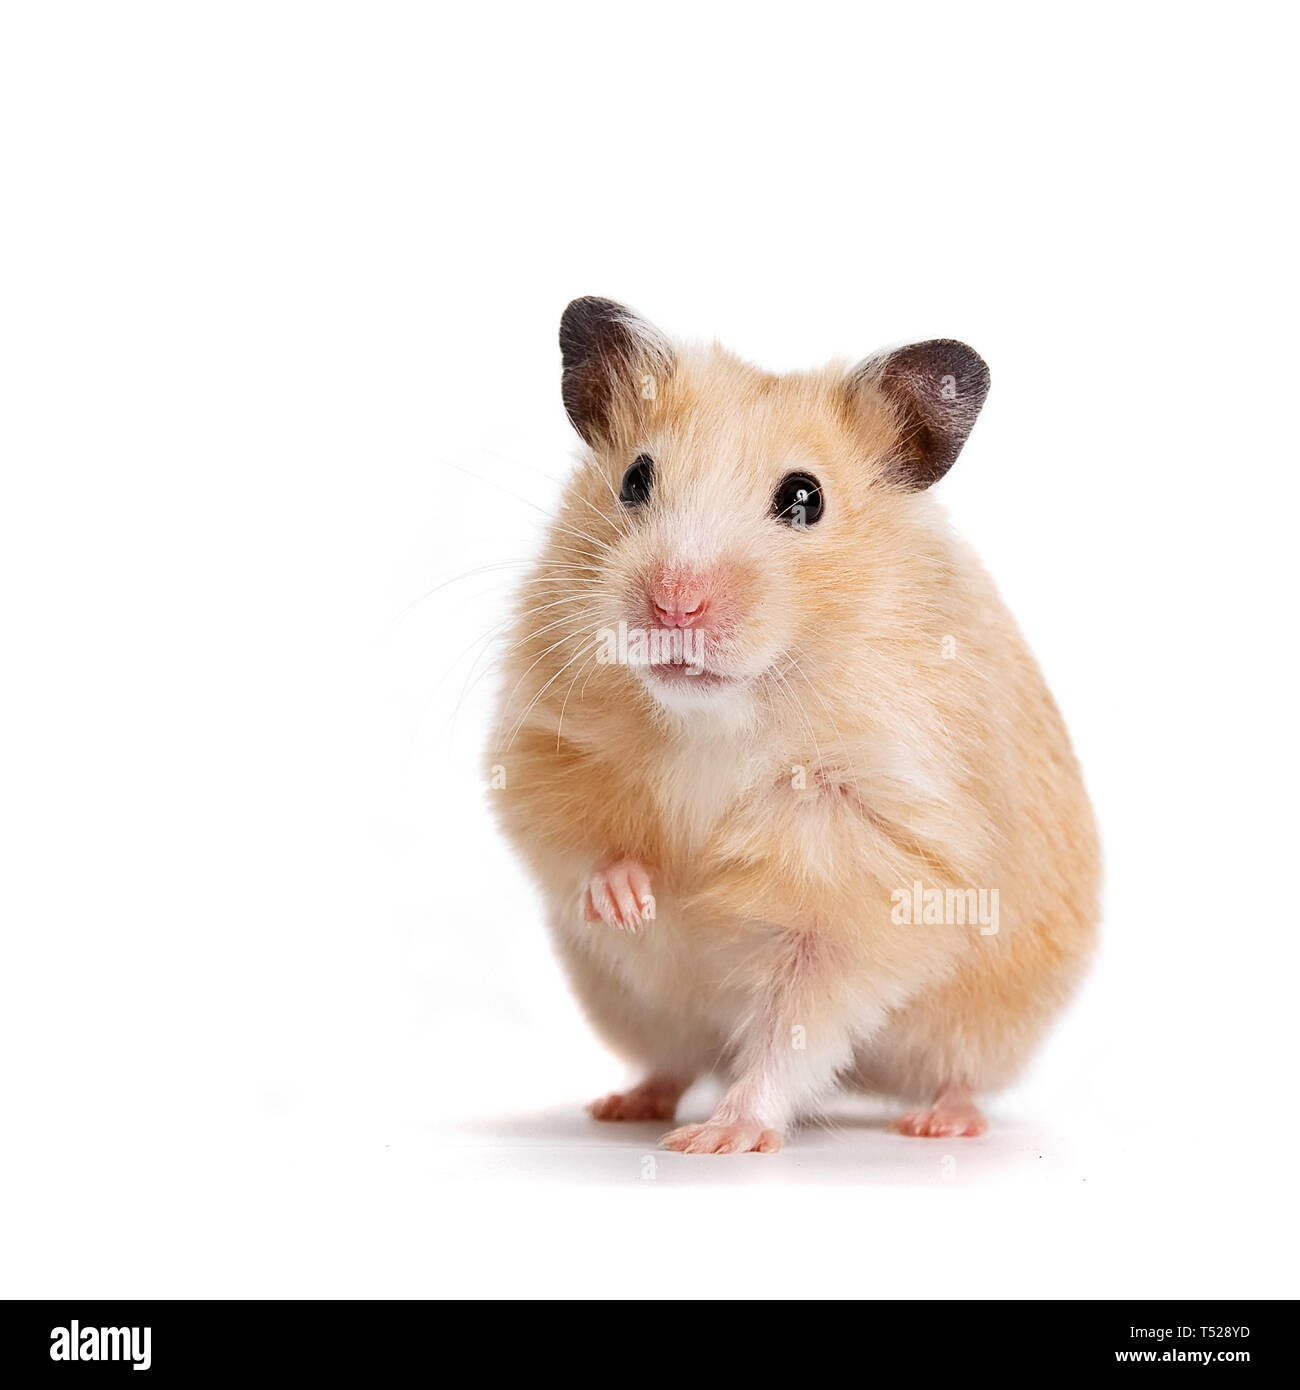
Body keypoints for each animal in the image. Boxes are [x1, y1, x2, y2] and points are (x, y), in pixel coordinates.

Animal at [487, 297, 1099, 1154]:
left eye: (805, 498)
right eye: (635, 478)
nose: (674, 605)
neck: (720, 716)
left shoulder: (870, 877)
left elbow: (795, 1024)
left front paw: (720, 1140)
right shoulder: (542, 742)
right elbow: (577, 841)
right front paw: (634, 901)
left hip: (990, 1020)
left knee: (958, 1073)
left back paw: (938, 1124)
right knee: (675, 1060)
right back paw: (624, 1105)